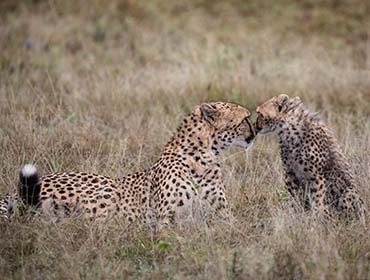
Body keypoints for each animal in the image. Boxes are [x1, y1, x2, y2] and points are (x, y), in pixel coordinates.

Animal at [0, 101, 254, 226]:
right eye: (245, 119)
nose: (254, 134)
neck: (203, 157)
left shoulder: (223, 215)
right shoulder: (164, 220)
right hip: (106, 189)